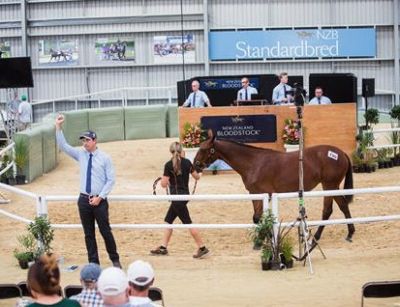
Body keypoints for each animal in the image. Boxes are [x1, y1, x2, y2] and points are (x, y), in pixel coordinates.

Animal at [193, 131, 354, 244]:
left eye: (204, 149)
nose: (195, 165)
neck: (253, 163)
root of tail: (341, 153)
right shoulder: (255, 193)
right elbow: (257, 218)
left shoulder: (265, 193)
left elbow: (259, 217)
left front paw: (260, 241)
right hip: (332, 186)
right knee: (342, 206)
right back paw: (349, 233)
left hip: (329, 185)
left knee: (328, 210)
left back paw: (317, 237)